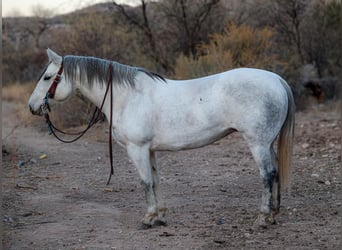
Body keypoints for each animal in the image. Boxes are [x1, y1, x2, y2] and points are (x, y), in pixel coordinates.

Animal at [28, 48, 294, 229]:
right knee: (275, 172)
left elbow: (145, 182)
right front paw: (161, 215)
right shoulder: (149, 150)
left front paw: (148, 218)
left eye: (47, 77)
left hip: (257, 143)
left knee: (267, 175)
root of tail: (277, 79)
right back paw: (273, 214)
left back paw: (262, 217)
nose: (32, 106)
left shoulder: (137, 149)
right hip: (268, 143)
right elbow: (155, 181)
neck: (127, 96)